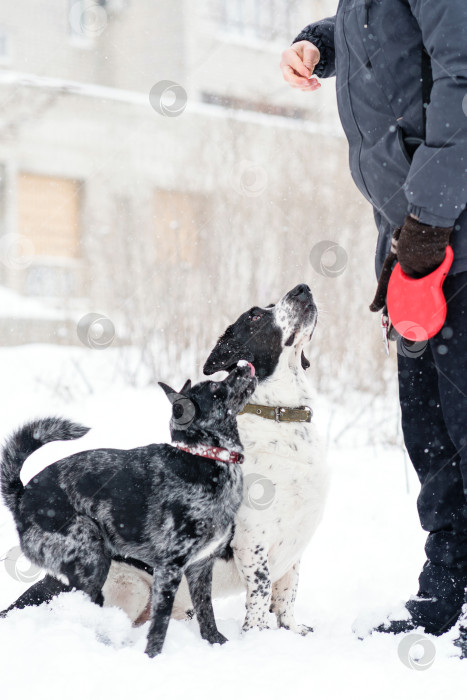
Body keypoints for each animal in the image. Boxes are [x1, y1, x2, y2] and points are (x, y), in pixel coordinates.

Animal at [0, 360, 256, 656]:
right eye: (216, 389)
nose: (243, 365)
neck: (203, 457)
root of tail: (21, 494)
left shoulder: (200, 568)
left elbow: (207, 615)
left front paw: (217, 644)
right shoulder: (169, 568)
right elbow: (160, 625)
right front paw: (152, 658)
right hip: (93, 561)